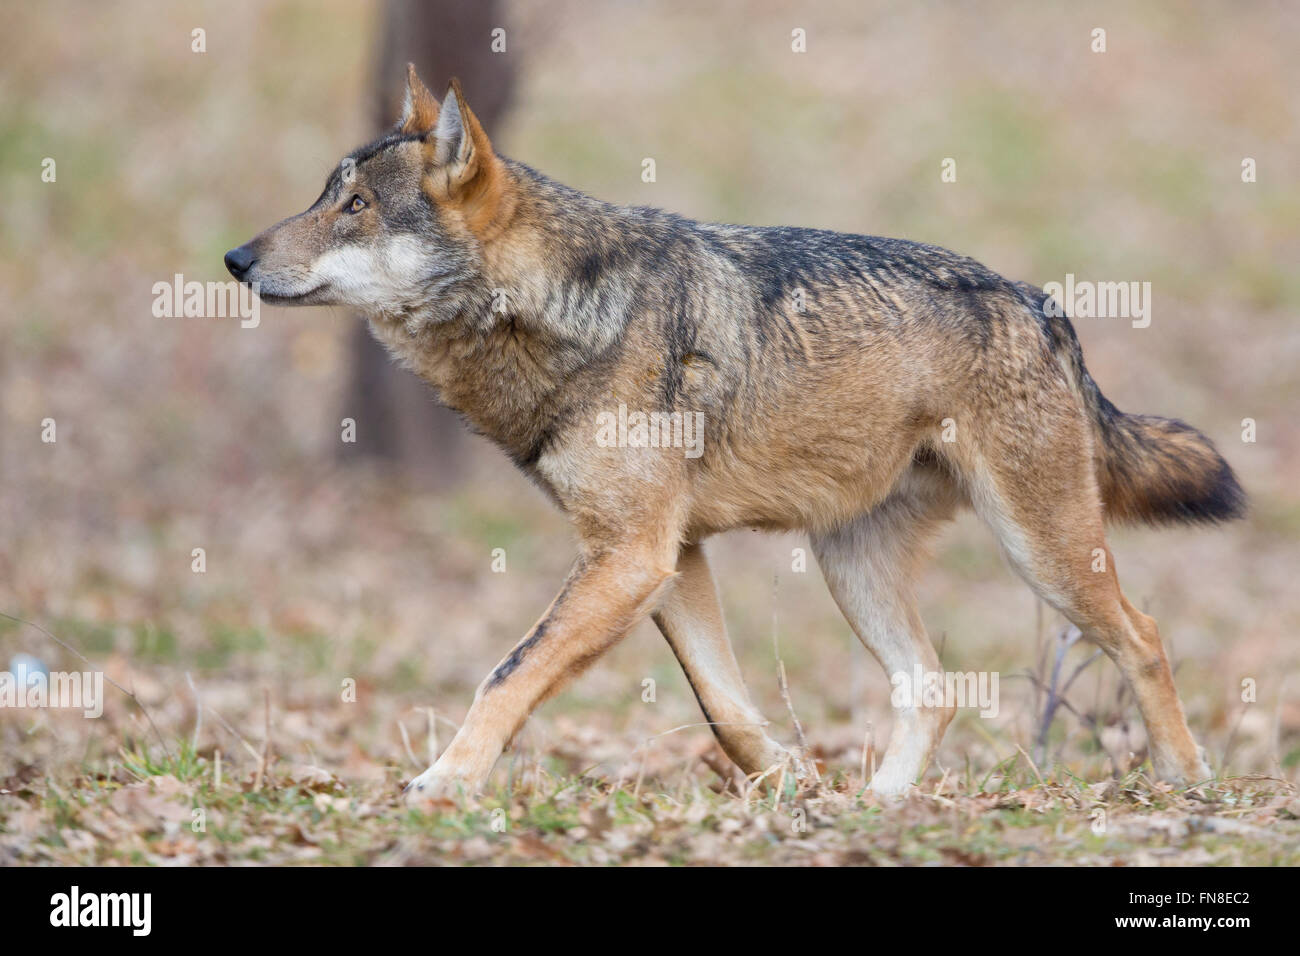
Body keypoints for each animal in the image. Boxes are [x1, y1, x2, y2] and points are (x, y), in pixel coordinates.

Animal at [228, 69, 1242, 801]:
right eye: (324, 195)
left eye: (355, 207)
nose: (234, 259)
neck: (564, 312)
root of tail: (1040, 304)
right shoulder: (665, 559)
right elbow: (724, 707)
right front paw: (791, 784)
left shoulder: (631, 556)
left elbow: (505, 674)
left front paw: (443, 781)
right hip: (853, 568)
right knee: (934, 687)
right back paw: (881, 806)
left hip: (1042, 552)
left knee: (1144, 635)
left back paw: (1187, 783)